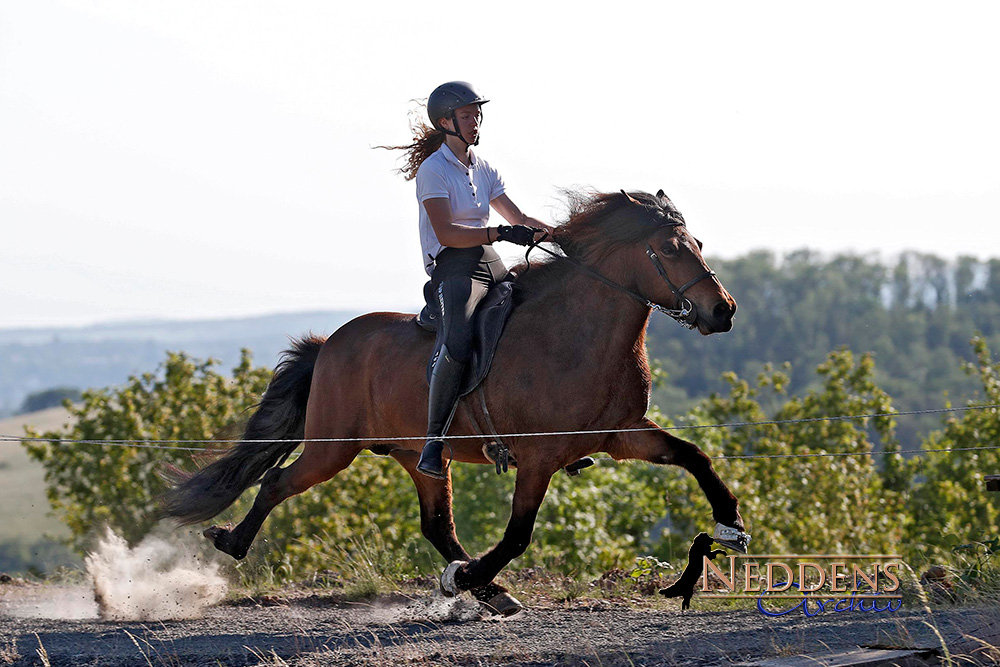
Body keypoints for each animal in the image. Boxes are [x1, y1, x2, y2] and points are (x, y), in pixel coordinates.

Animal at [162, 188, 752, 616]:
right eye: (671, 249)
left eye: (698, 242)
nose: (723, 311)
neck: (579, 334)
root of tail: (330, 343)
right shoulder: (539, 457)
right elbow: (517, 535)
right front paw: (471, 576)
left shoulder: (621, 434)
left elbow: (695, 456)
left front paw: (731, 526)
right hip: (333, 447)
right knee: (277, 482)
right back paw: (232, 543)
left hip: (418, 455)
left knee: (435, 525)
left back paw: (484, 589)